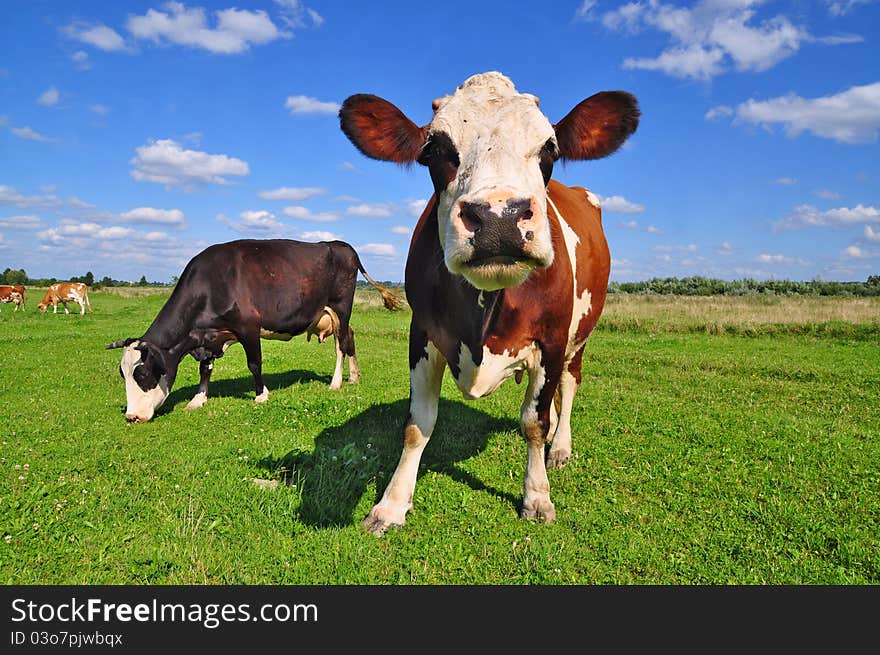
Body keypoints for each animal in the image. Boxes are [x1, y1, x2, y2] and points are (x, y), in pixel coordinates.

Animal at [338, 70, 640, 532]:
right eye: (434, 148)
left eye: (549, 147)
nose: (499, 216)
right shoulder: (421, 334)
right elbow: (417, 425)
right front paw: (391, 504)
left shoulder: (551, 341)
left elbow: (534, 421)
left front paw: (537, 497)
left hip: (580, 335)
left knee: (568, 386)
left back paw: (560, 446)